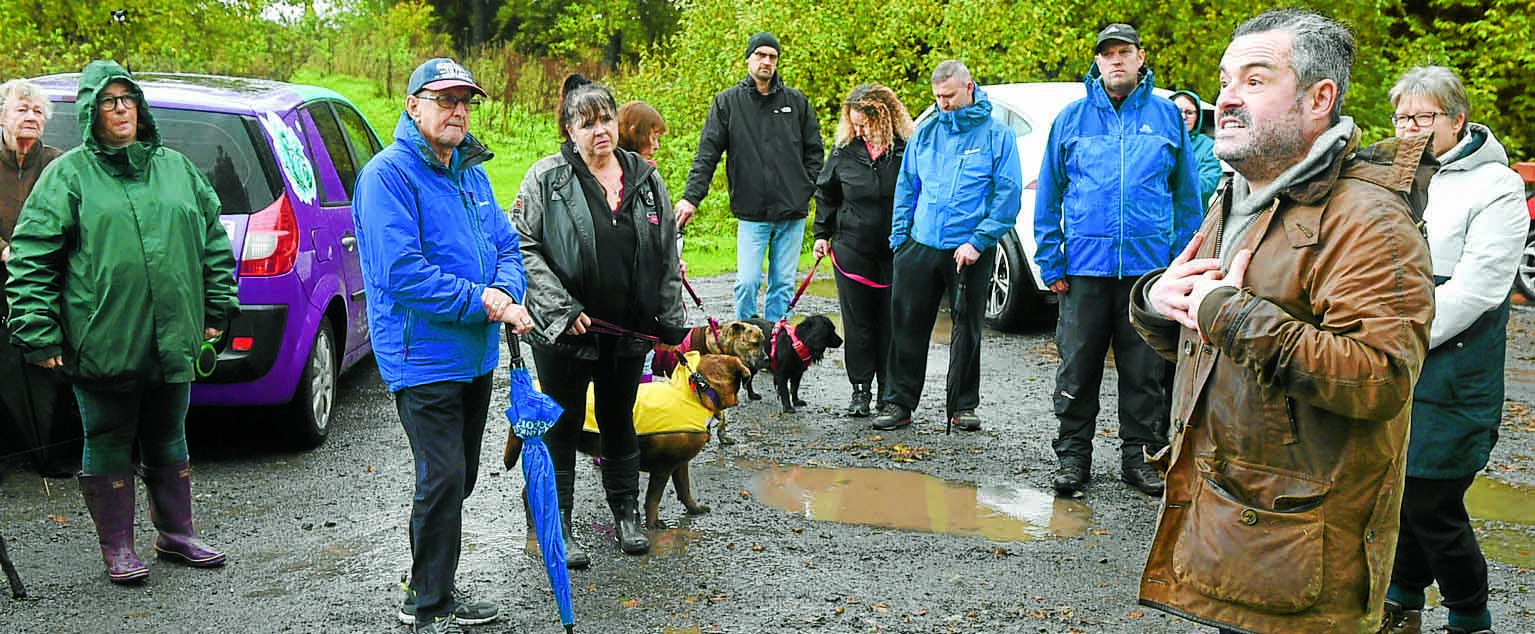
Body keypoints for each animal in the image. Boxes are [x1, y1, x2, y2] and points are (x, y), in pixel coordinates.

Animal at [506, 351, 752, 528]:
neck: (698, 392)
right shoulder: (663, 467)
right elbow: (653, 498)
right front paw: (653, 524)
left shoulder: (680, 464)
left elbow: (685, 489)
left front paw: (694, 508)